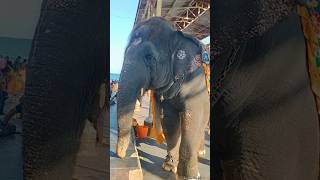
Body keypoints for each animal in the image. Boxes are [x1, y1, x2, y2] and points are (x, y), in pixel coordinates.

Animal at [116, 17, 211, 179]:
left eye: (149, 57)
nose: (120, 156)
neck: (177, 34)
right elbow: (170, 121)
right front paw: (169, 166)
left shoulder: (197, 83)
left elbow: (193, 119)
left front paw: (189, 176)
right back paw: (200, 152)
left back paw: (201, 153)